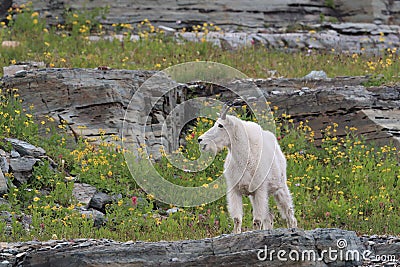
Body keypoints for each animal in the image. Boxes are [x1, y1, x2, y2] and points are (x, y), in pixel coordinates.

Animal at [197, 103, 296, 233]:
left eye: (220, 125)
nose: (200, 140)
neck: (244, 160)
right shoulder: (235, 190)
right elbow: (237, 219)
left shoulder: (260, 190)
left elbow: (257, 220)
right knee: (269, 217)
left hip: (280, 187)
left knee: (289, 214)